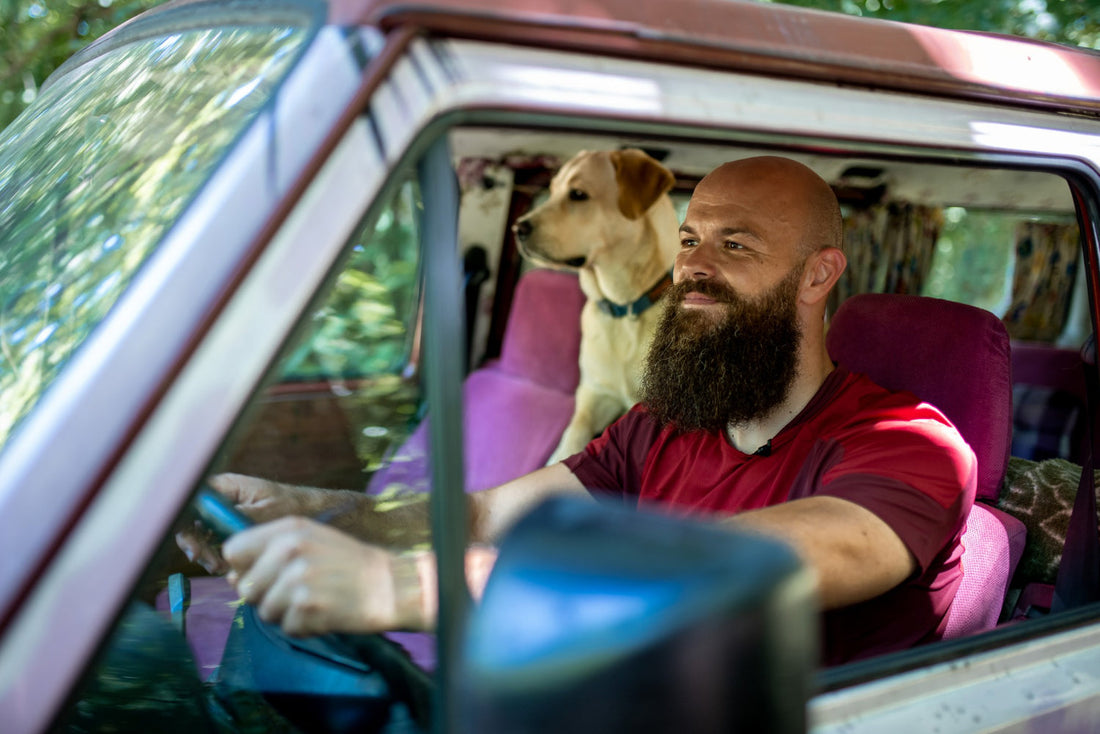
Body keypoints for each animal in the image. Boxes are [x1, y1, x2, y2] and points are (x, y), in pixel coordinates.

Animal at [512, 146, 677, 462]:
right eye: (551, 191)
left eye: (578, 194)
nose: (517, 228)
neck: (625, 308)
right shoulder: (594, 395)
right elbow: (572, 437)